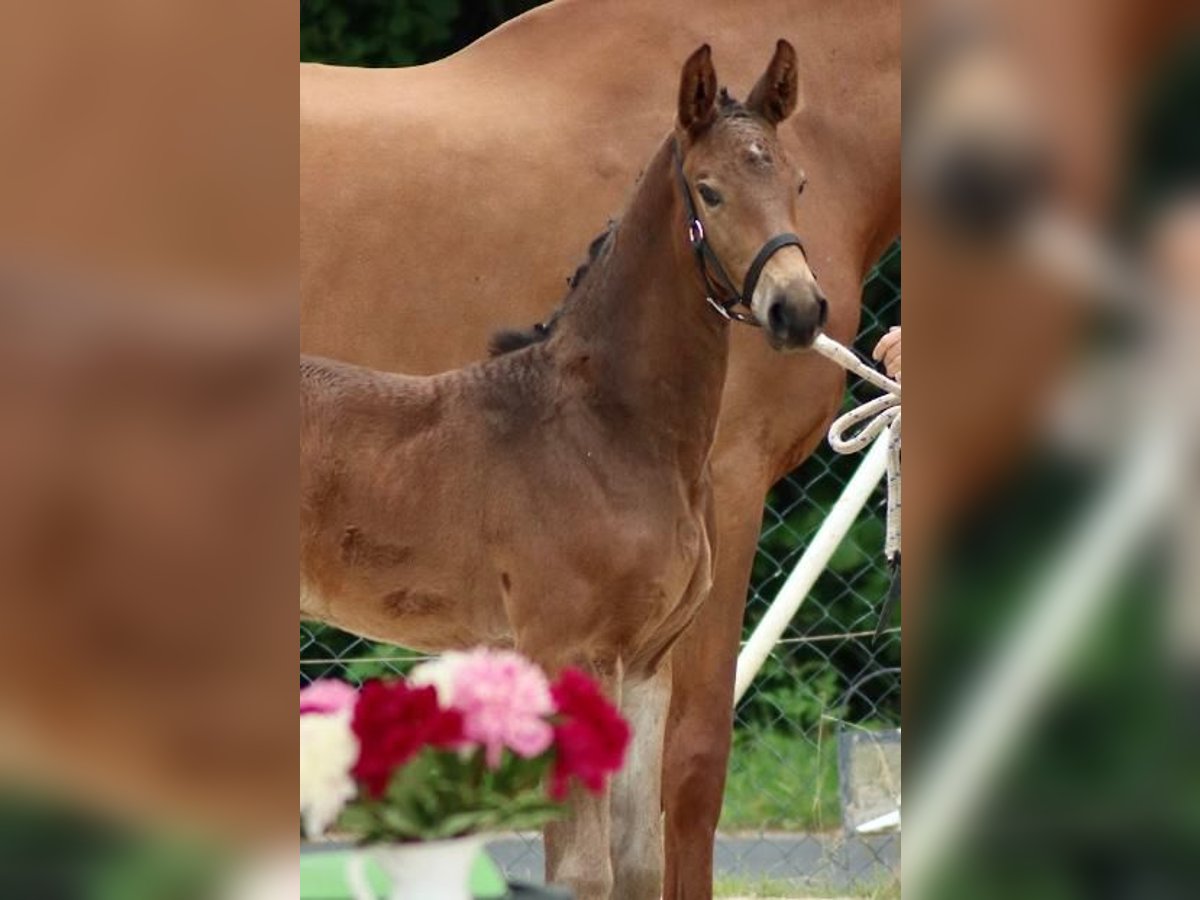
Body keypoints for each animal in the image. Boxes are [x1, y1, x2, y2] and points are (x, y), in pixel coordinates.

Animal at [300, 3, 902, 897]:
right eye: (711, 190)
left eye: (797, 183)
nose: (796, 309)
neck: (607, 426)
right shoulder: (573, 654)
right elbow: (592, 862)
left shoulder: (645, 666)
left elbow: (637, 858)